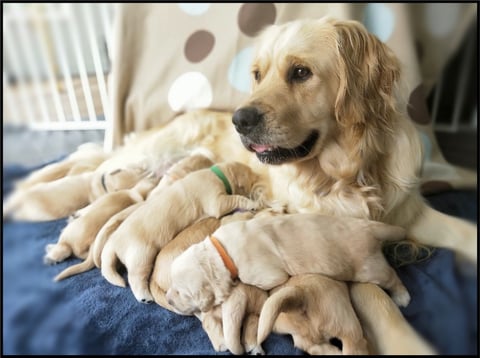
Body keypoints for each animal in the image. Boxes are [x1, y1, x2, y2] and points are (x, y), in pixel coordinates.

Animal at [98, 162, 262, 304]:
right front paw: (252, 203)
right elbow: (235, 199)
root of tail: (113, 240)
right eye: (251, 175)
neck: (218, 174)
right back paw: (144, 296)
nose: (259, 176)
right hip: (141, 253)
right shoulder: (216, 200)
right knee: (135, 277)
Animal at [167, 211, 410, 314]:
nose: (168, 300)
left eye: (182, 294)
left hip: (370, 268)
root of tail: (371, 228)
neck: (221, 252)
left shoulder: (266, 275)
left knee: (391, 276)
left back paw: (402, 297)